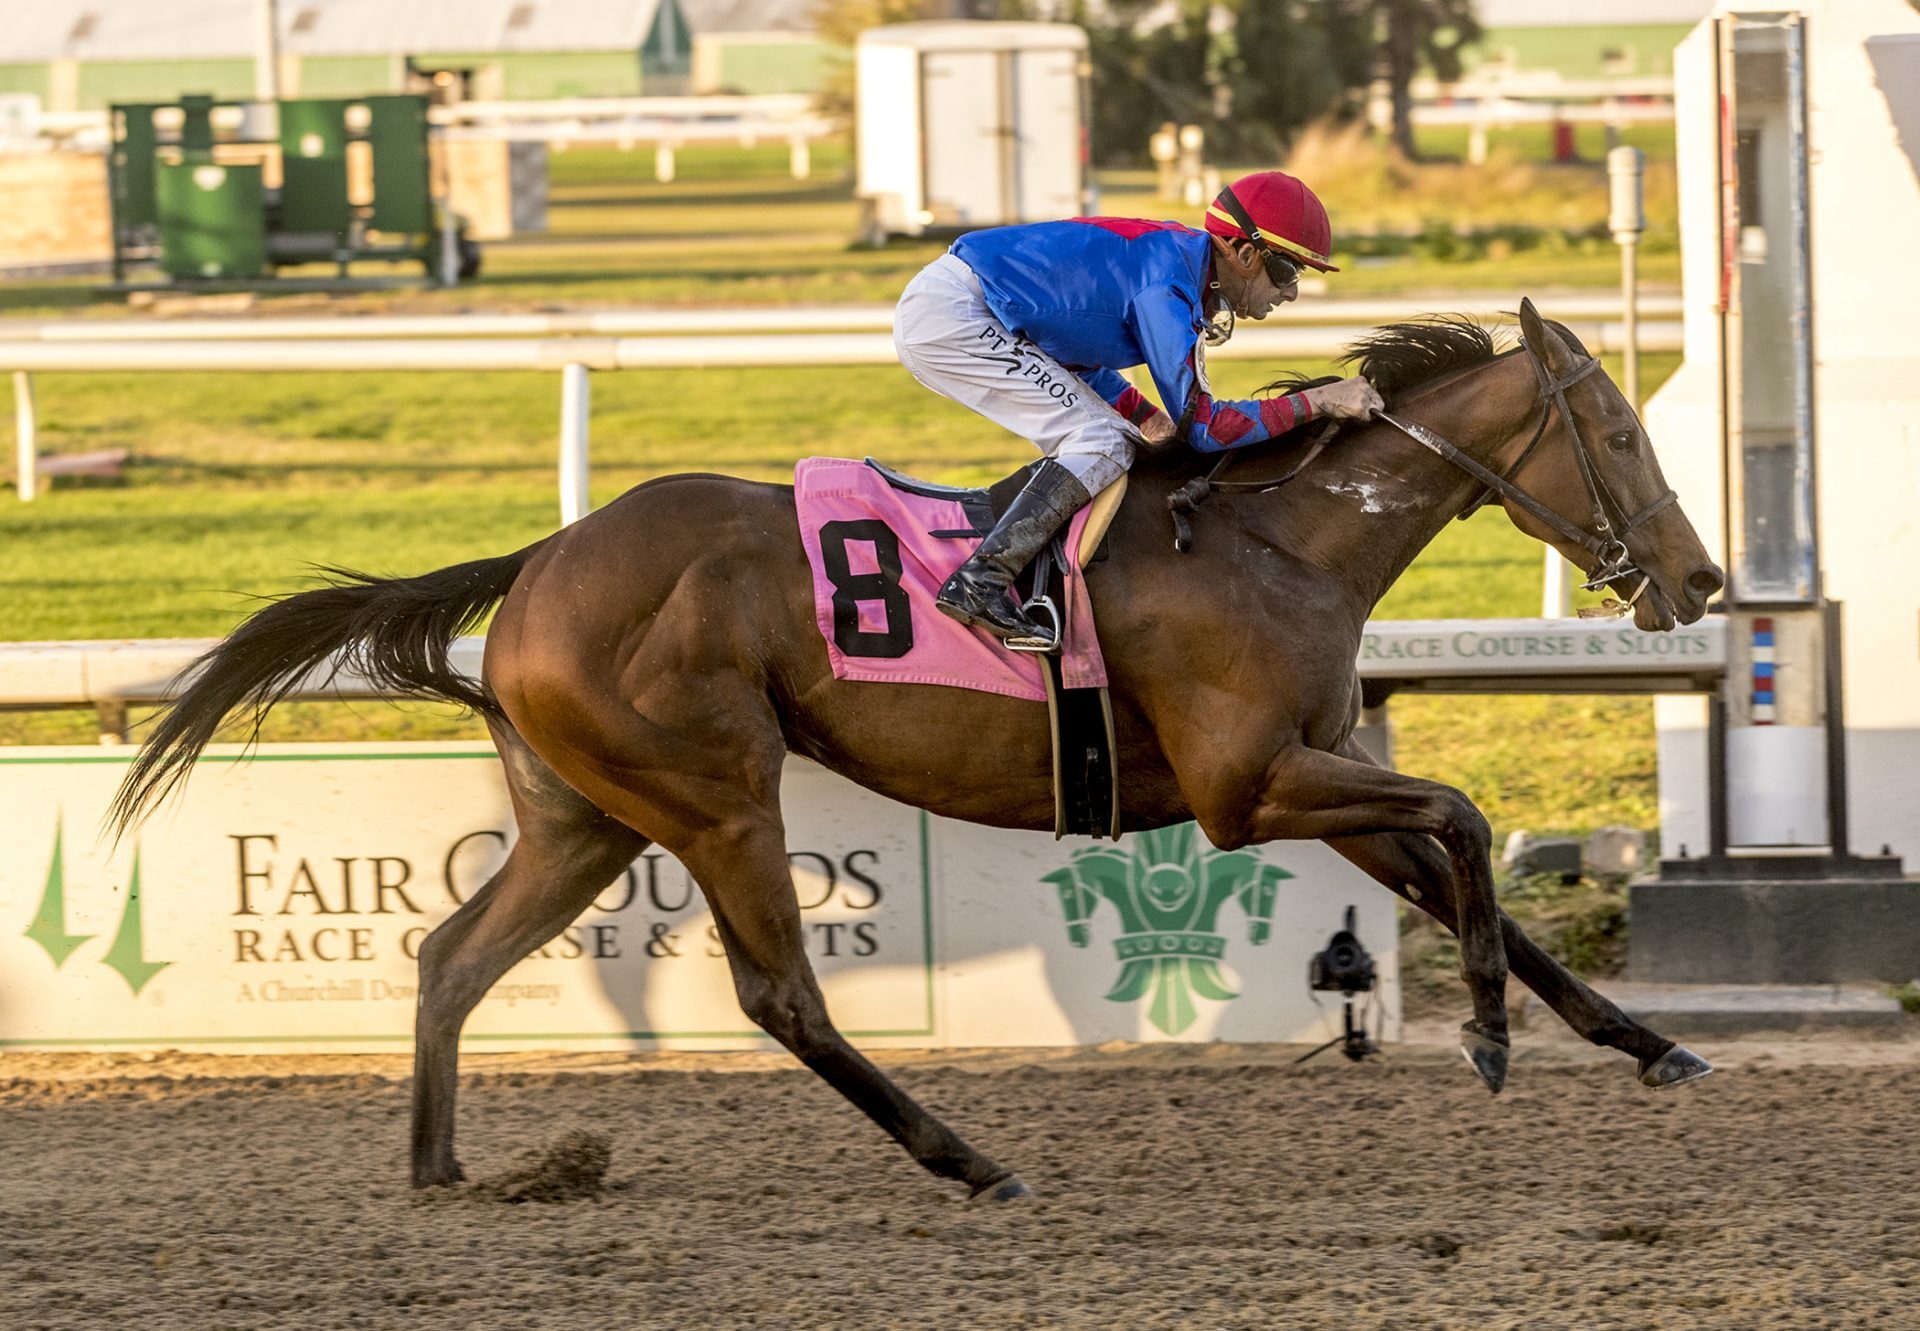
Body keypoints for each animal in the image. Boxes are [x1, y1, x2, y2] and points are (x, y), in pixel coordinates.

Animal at [105, 295, 1728, 1198]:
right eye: (1621, 434)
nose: (1702, 580)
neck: (1282, 537)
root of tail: (544, 555)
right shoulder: (1245, 787)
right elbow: (1465, 815)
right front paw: (1492, 1037)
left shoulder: (1309, 776)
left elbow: (1476, 873)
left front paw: (1651, 1044)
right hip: (715, 793)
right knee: (781, 994)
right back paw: (971, 1159)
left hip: (586, 815)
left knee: (451, 953)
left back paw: (447, 1167)